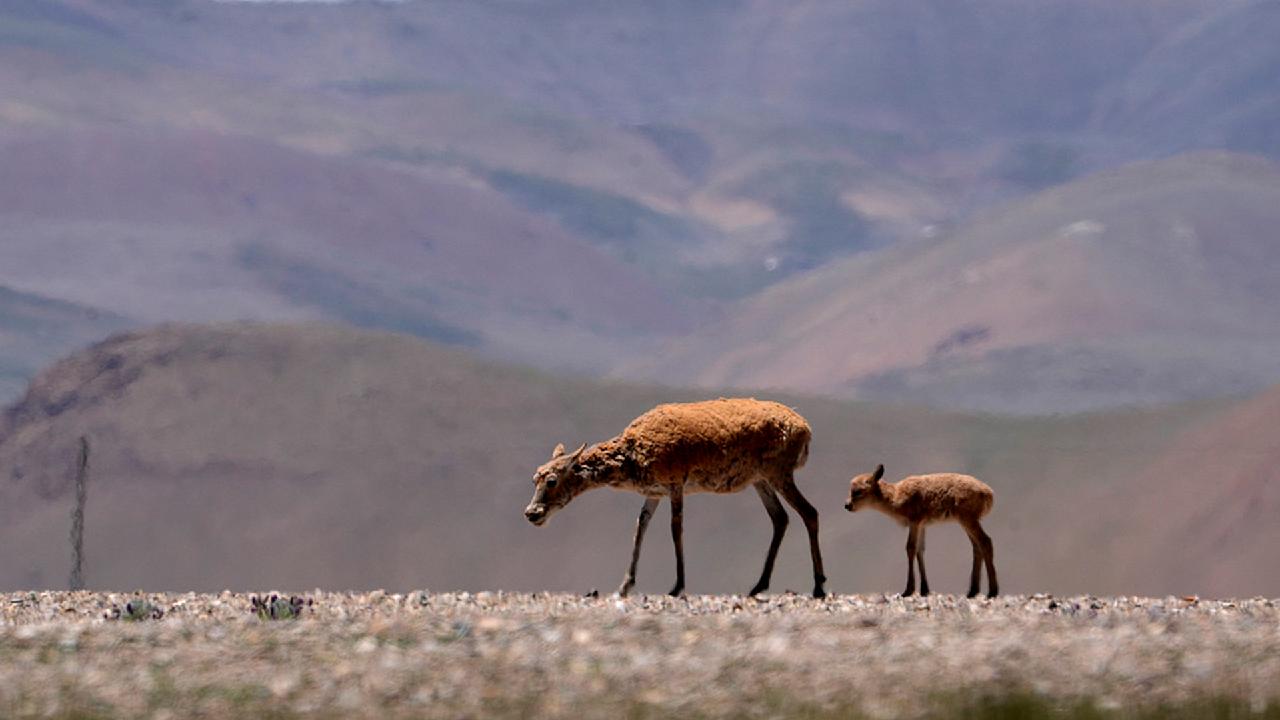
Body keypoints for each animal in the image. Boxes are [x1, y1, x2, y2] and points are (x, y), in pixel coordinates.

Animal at [524, 398, 827, 598]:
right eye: (535, 477)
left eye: (552, 480)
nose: (531, 513)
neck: (631, 454)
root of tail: (806, 428)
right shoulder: (654, 493)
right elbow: (640, 527)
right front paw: (624, 586)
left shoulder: (675, 484)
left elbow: (675, 529)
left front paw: (677, 585)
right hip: (760, 480)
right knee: (780, 518)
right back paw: (758, 586)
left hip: (778, 474)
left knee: (809, 512)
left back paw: (818, 585)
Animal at [844, 464, 998, 598]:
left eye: (858, 491)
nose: (847, 505)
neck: (896, 496)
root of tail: (988, 493)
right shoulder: (922, 525)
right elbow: (920, 550)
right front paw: (924, 590)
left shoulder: (914, 522)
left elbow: (910, 548)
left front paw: (908, 590)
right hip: (965, 522)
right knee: (976, 546)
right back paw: (972, 591)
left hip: (968, 520)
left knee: (985, 541)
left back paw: (992, 591)